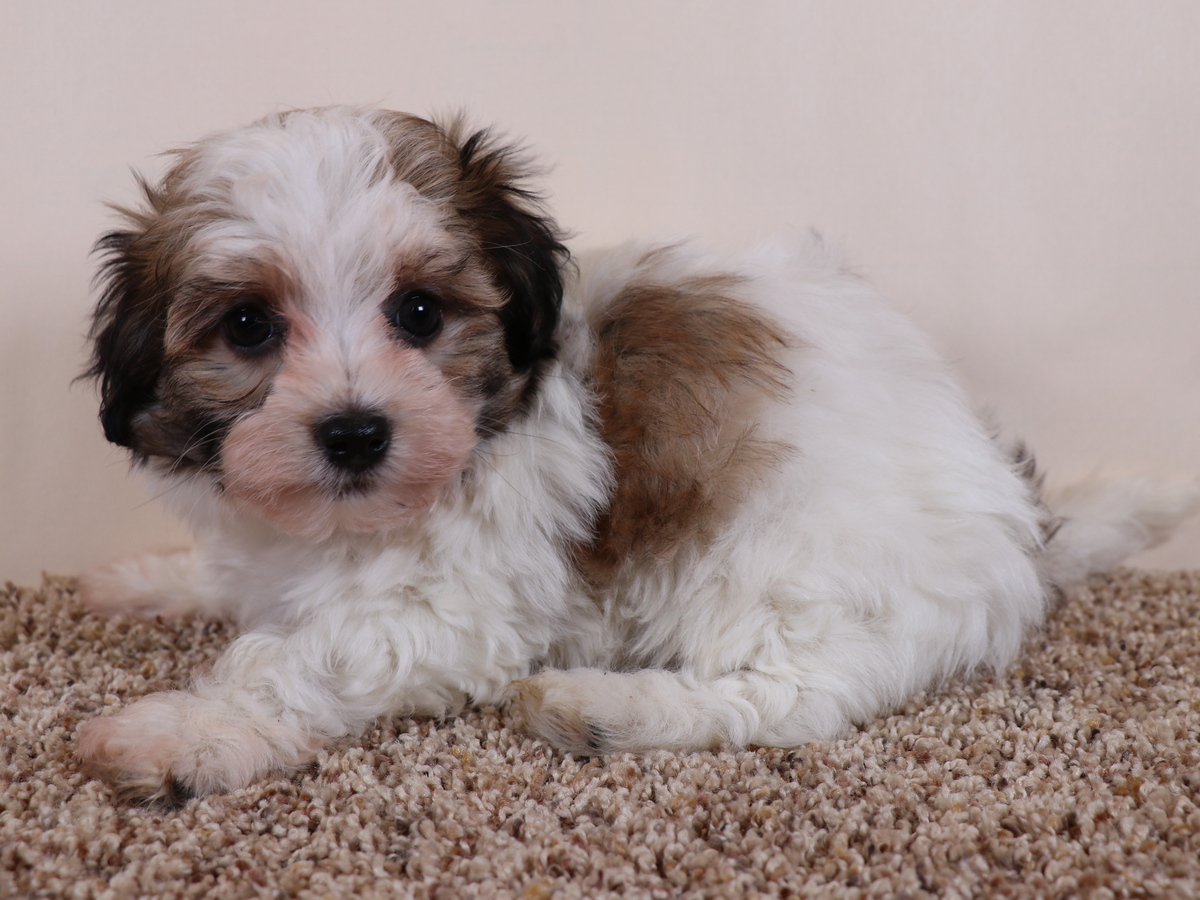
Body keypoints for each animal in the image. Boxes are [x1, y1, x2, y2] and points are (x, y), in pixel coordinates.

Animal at [77, 106, 1197, 802]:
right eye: (249, 327)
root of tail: (1022, 523)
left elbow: (305, 658)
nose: (355, 431)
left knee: (785, 701)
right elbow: (243, 583)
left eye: (420, 312)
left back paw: (601, 708)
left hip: (802, 571)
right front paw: (147, 582)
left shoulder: (454, 605)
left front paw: (185, 732)